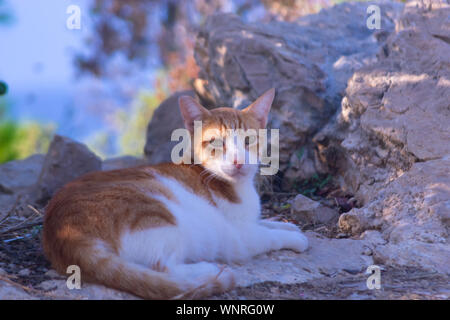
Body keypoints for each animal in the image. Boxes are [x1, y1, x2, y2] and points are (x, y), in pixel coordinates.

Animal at [42, 89, 308, 298]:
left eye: (249, 140)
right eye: (216, 142)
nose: (238, 161)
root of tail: (62, 233)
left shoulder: (248, 221)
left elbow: (267, 223)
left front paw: (288, 226)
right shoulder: (240, 236)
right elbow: (269, 235)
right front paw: (295, 238)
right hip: (162, 219)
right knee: (162, 267)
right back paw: (207, 270)